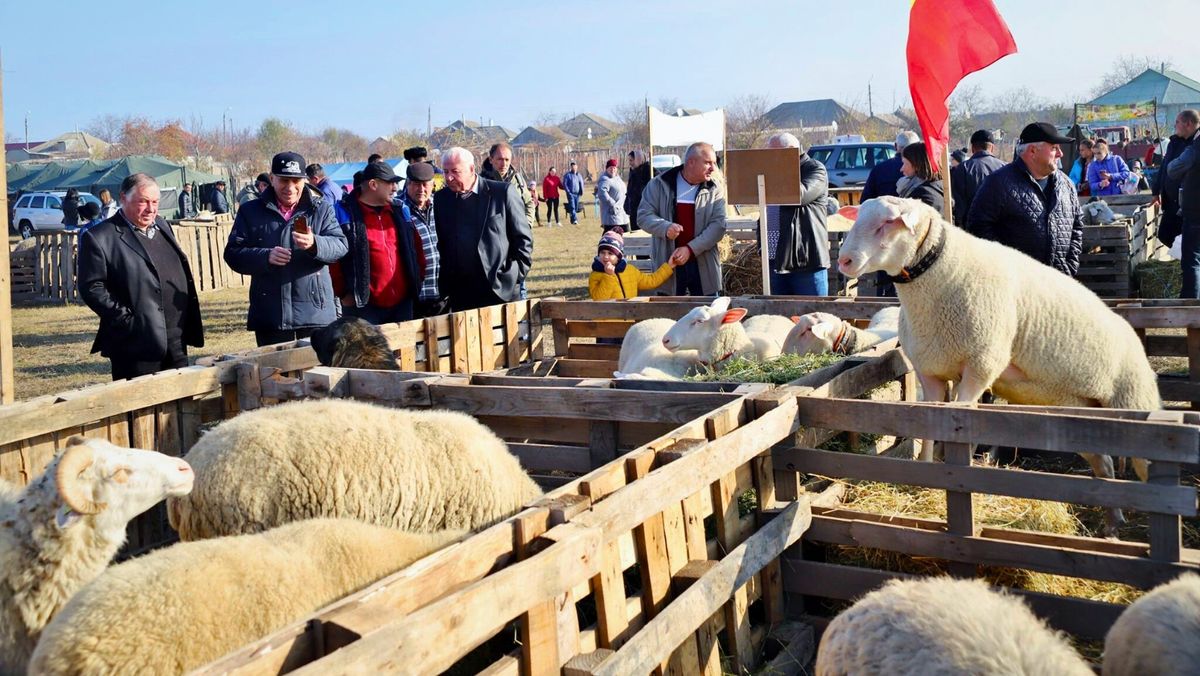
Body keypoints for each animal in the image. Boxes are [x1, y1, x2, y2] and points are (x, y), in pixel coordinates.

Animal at [835, 195, 1161, 535]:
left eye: (887, 222)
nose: (844, 261)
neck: (940, 277)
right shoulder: (931, 372)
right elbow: (927, 433)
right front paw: (925, 478)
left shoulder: (980, 367)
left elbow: (962, 431)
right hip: (1083, 414)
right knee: (1106, 466)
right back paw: (1113, 524)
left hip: (1134, 400)